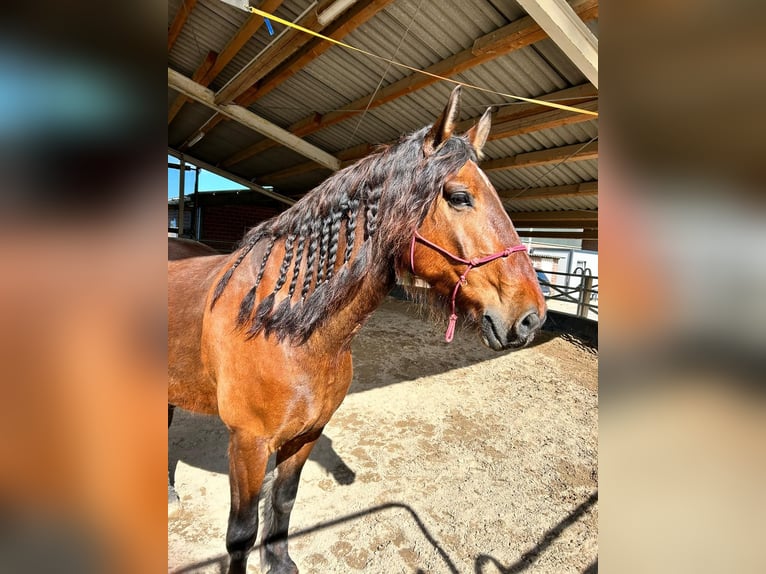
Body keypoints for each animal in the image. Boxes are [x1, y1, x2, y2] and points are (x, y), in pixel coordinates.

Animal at [171, 86, 548, 574]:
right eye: (460, 196)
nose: (532, 317)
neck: (283, 327)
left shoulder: (306, 435)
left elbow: (284, 502)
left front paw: (281, 563)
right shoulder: (247, 444)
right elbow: (240, 534)